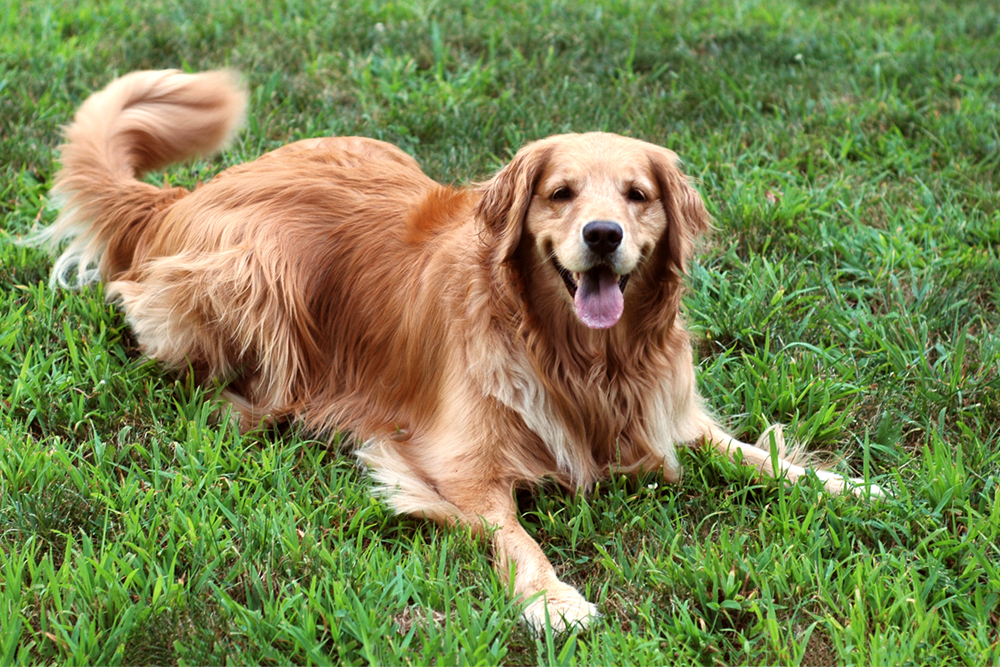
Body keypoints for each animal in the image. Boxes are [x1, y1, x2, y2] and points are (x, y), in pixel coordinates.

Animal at [35, 70, 880, 636]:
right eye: (562, 193)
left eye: (637, 196)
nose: (602, 234)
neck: (580, 357)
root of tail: (181, 198)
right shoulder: (459, 462)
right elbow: (518, 535)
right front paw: (554, 600)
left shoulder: (664, 414)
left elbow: (756, 453)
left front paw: (848, 485)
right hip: (260, 270)